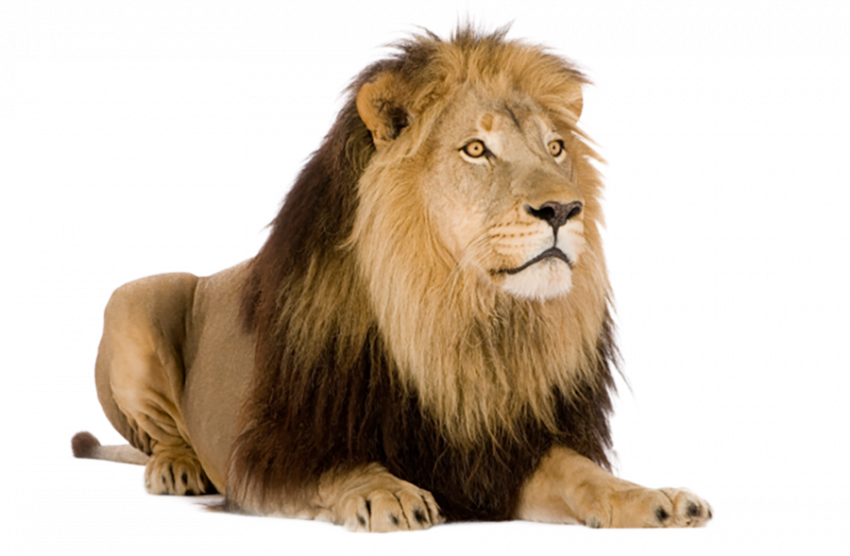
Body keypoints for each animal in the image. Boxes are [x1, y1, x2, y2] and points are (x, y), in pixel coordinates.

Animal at [70, 5, 716, 532]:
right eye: (476, 149)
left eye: (554, 147)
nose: (562, 209)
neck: (459, 314)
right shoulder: (272, 454)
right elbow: (341, 467)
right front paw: (387, 492)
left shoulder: (500, 454)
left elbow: (580, 471)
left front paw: (650, 499)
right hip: (139, 297)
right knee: (160, 434)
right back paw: (178, 467)